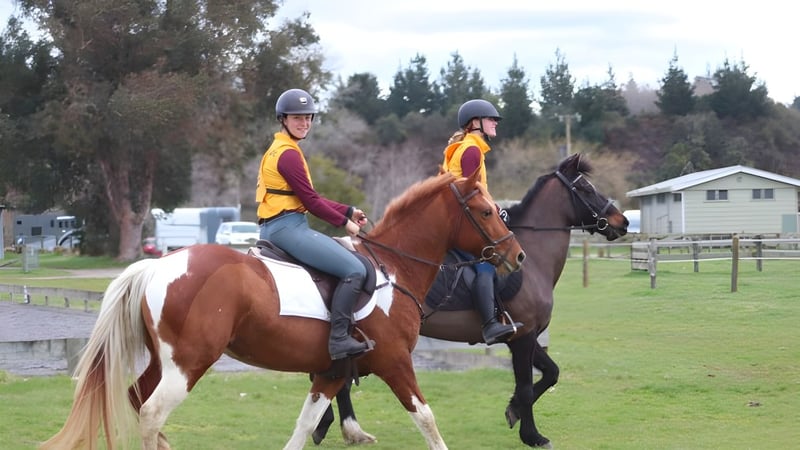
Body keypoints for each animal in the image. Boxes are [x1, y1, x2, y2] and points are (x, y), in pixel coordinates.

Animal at [39, 169, 525, 450]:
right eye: (486, 211)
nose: (516, 255)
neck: (395, 265)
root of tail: (158, 265)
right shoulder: (394, 362)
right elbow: (426, 418)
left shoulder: (331, 371)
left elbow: (304, 425)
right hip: (188, 364)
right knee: (151, 412)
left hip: (165, 362)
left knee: (136, 400)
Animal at [314, 153, 629, 448]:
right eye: (586, 188)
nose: (622, 222)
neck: (533, 260)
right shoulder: (523, 338)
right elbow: (527, 386)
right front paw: (532, 434)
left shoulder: (523, 335)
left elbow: (551, 373)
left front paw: (513, 411)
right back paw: (340, 427)